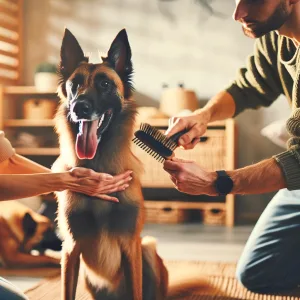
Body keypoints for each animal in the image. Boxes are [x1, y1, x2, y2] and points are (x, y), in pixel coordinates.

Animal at [52, 28, 206, 300]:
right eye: (74, 84)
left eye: (105, 84)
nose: (79, 108)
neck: (99, 165)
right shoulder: (71, 250)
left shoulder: (130, 246)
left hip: (147, 248)